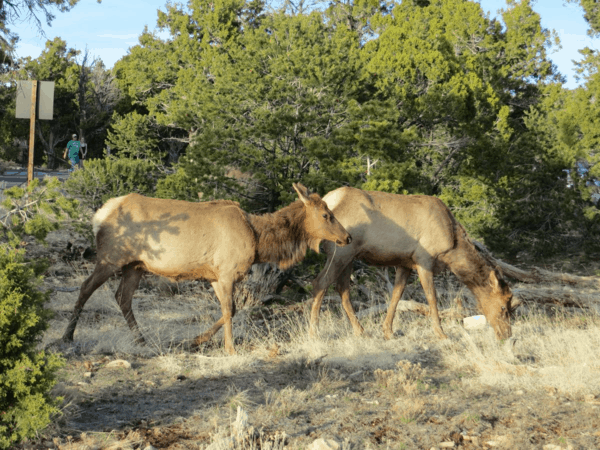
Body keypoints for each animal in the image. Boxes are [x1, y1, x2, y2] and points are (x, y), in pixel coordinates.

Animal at [61, 183, 352, 356]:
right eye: (326, 215)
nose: (347, 237)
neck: (259, 241)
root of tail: (99, 215)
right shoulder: (227, 272)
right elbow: (229, 310)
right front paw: (229, 348)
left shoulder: (214, 275)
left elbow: (229, 310)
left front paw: (195, 341)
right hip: (111, 257)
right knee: (85, 287)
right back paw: (68, 336)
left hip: (136, 265)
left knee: (123, 297)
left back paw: (142, 340)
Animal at [312, 186, 512, 342]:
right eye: (504, 306)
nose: (507, 335)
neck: (452, 250)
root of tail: (328, 199)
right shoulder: (424, 260)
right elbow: (431, 298)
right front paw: (441, 334)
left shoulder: (405, 263)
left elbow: (396, 296)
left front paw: (388, 331)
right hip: (341, 252)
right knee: (321, 282)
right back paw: (314, 331)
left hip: (349, 256)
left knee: (342, 288)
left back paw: (360, 331)